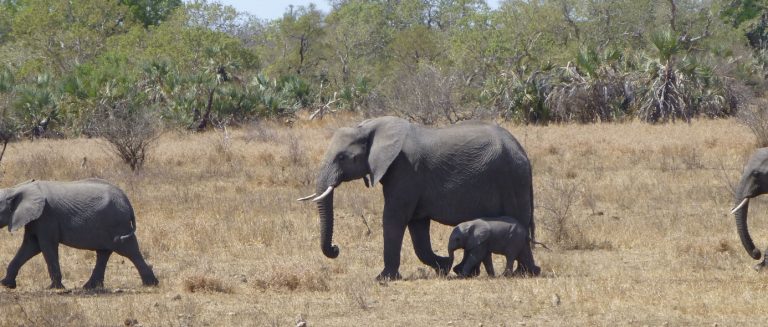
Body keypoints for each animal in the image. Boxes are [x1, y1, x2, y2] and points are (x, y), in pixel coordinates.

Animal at [0, 179, 158, 290]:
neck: (16, 188)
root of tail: (127, 201)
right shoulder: (35, 219)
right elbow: (30, 246)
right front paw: (6, 284)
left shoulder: (46, 216)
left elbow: (46, 246)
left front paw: (54, 288)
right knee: (104, 253)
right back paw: (90, 287)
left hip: (118, 223)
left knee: (129, 250)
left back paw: (151, 284)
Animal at [300, 116, 536, 280]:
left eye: (342, 157)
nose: (336, 248)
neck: (370, 128)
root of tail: (522, 151)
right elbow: (417, 227)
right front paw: (444, 267)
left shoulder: (405, 171)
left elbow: (393, 218)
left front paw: (383, 278)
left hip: (513, 180)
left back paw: (522, 273)